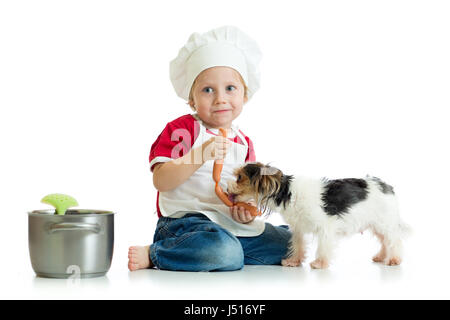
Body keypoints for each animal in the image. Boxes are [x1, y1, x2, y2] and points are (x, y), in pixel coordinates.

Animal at [227, 161, 410, 268]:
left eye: (240, 177)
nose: (227, 188)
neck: (288, 192)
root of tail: (386, 186)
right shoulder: (298, 229)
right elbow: (298, 245)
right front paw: (294, 261)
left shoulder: (326, 227)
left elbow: (323, 247)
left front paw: (319, 263)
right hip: (377, 224)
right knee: (385, 241)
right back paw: (382, 257)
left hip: (384, 222)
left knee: (394, 240)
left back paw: (394, 259)